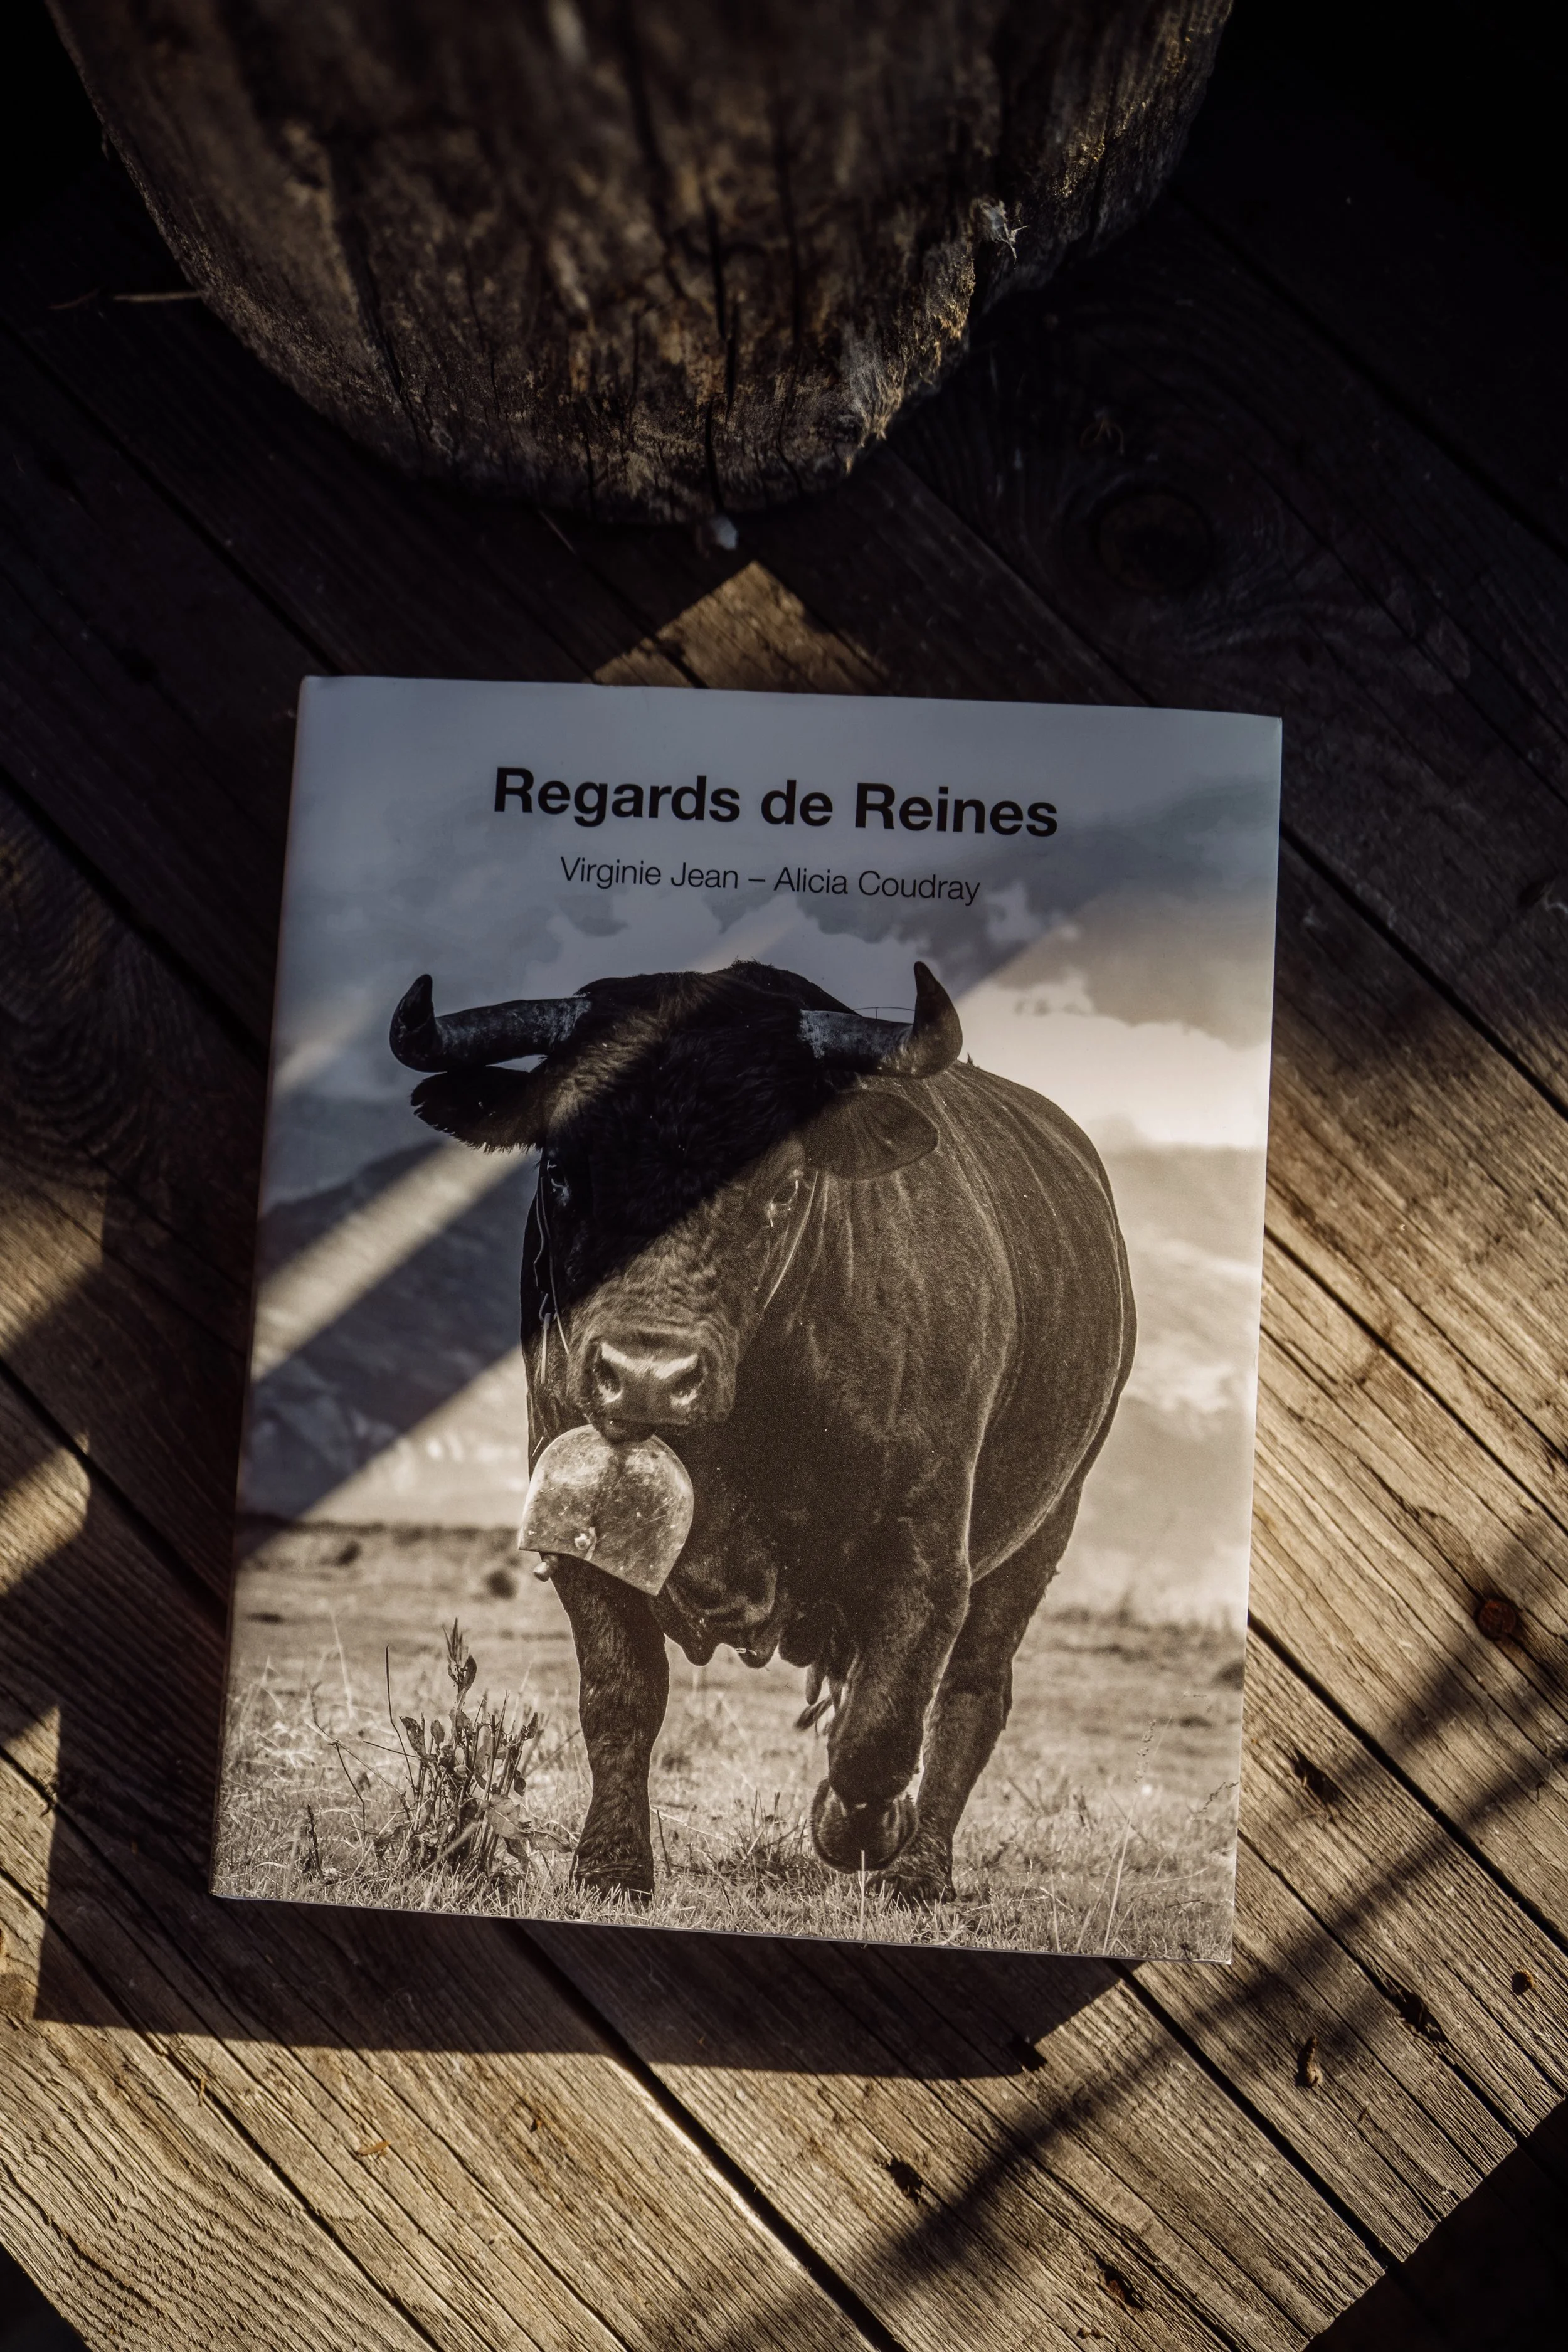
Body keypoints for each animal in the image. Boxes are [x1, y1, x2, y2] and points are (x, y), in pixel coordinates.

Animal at [390, 957, 1135, 1905]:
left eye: (780, 1187)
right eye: (559, 1169)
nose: (648, 1372)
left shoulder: (929, 1555)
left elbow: (880, 1732)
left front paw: (859, 1829)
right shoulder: (577, 1538)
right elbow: (621, 1699)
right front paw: (610, 1866)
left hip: (1044, 1527)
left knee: (972, 1693)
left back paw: (917, 1869)